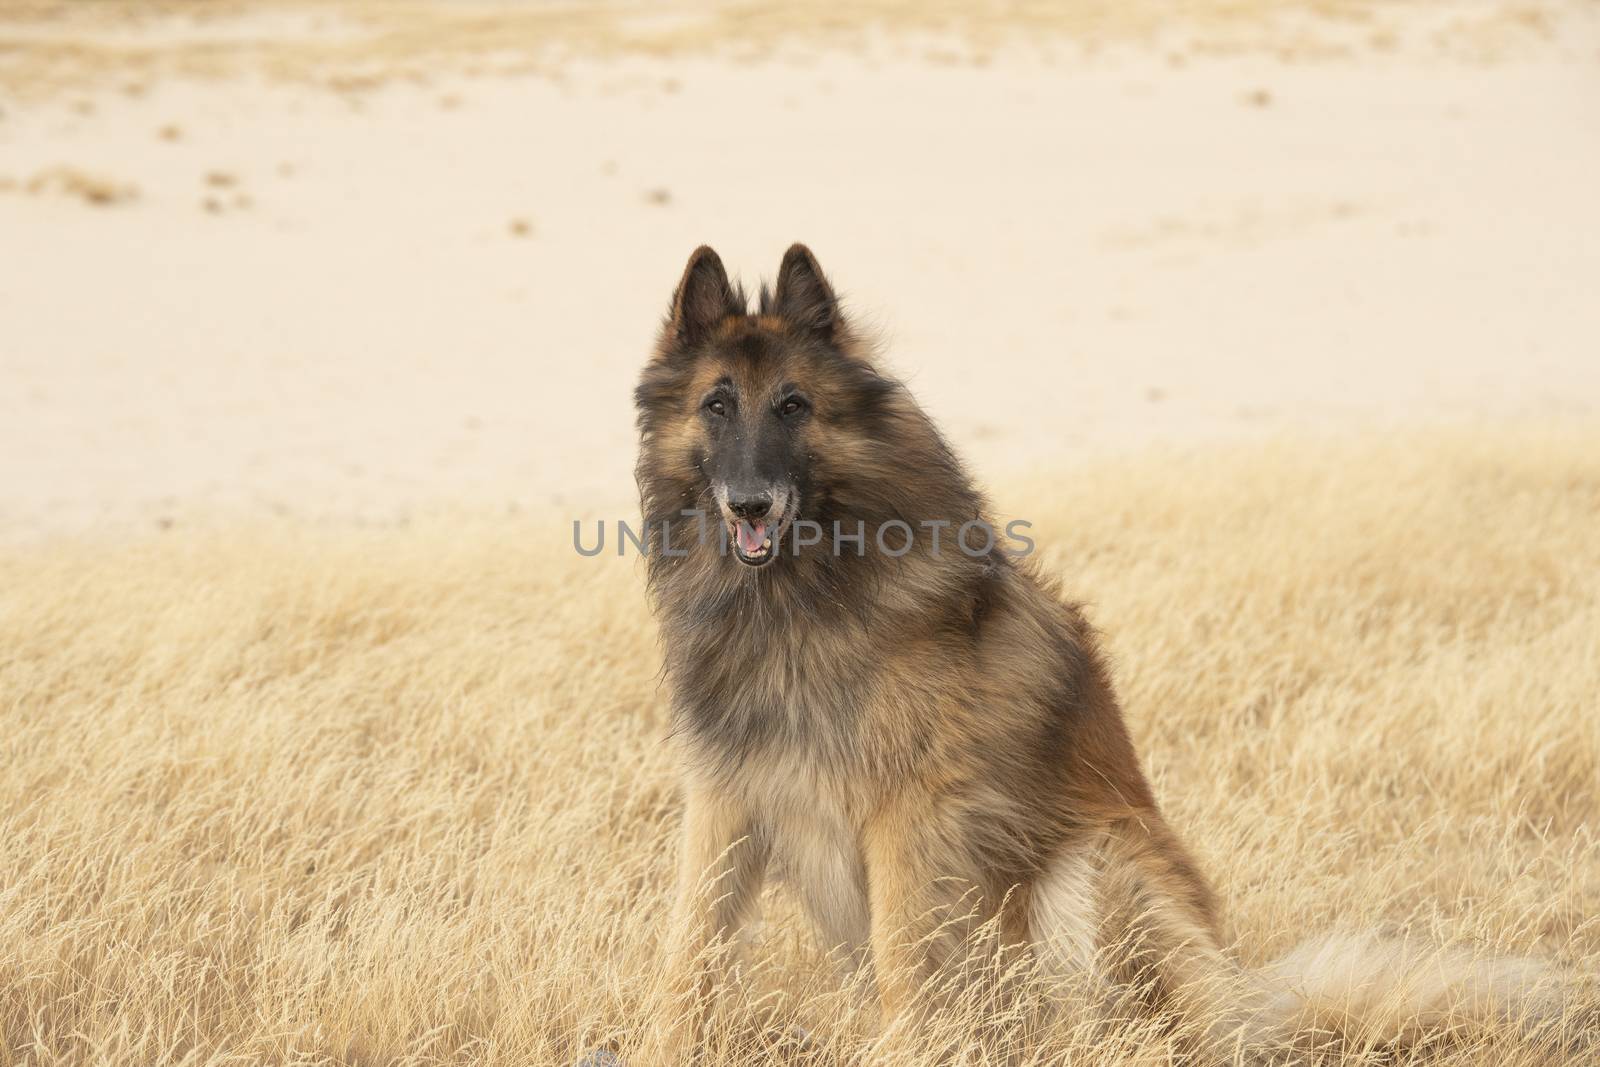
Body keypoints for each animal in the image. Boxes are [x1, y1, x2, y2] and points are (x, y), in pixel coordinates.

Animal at [630, 246, 1580, 1062]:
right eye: (717, 404)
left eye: (794, 405)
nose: (750, 503)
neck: (797, 595)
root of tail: (1247, 997)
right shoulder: (726, 802)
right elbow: (687, 957)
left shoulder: (905, 818)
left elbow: (904, 965)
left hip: (1096, 865)